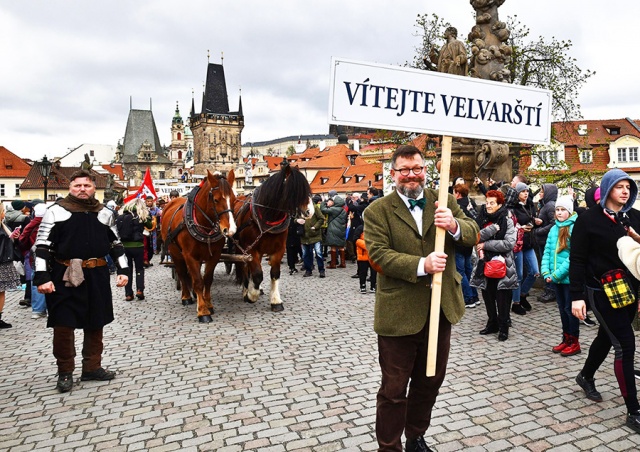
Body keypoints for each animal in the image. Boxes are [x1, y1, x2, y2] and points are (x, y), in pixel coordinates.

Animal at [160, 169, 238, 322]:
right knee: (182, 273)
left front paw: (208, 304)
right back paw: (186, 297)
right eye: (216, 200)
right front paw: (203, 311)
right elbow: (197, 281)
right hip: (175, 253)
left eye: (233, 199)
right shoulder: (189, 256)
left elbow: (206, 280)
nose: (230, 230)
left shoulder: (214, 256)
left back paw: (196, 295)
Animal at [232, 160, 316, 310]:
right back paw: (246, 290)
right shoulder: (251, 250)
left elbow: (275, 274)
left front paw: (276, 300)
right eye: (295, 189)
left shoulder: (279, 249)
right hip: (240, 249)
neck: (269, 217)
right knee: (244, 268)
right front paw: (252, 295)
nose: (309, 212)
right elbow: (258, 275)